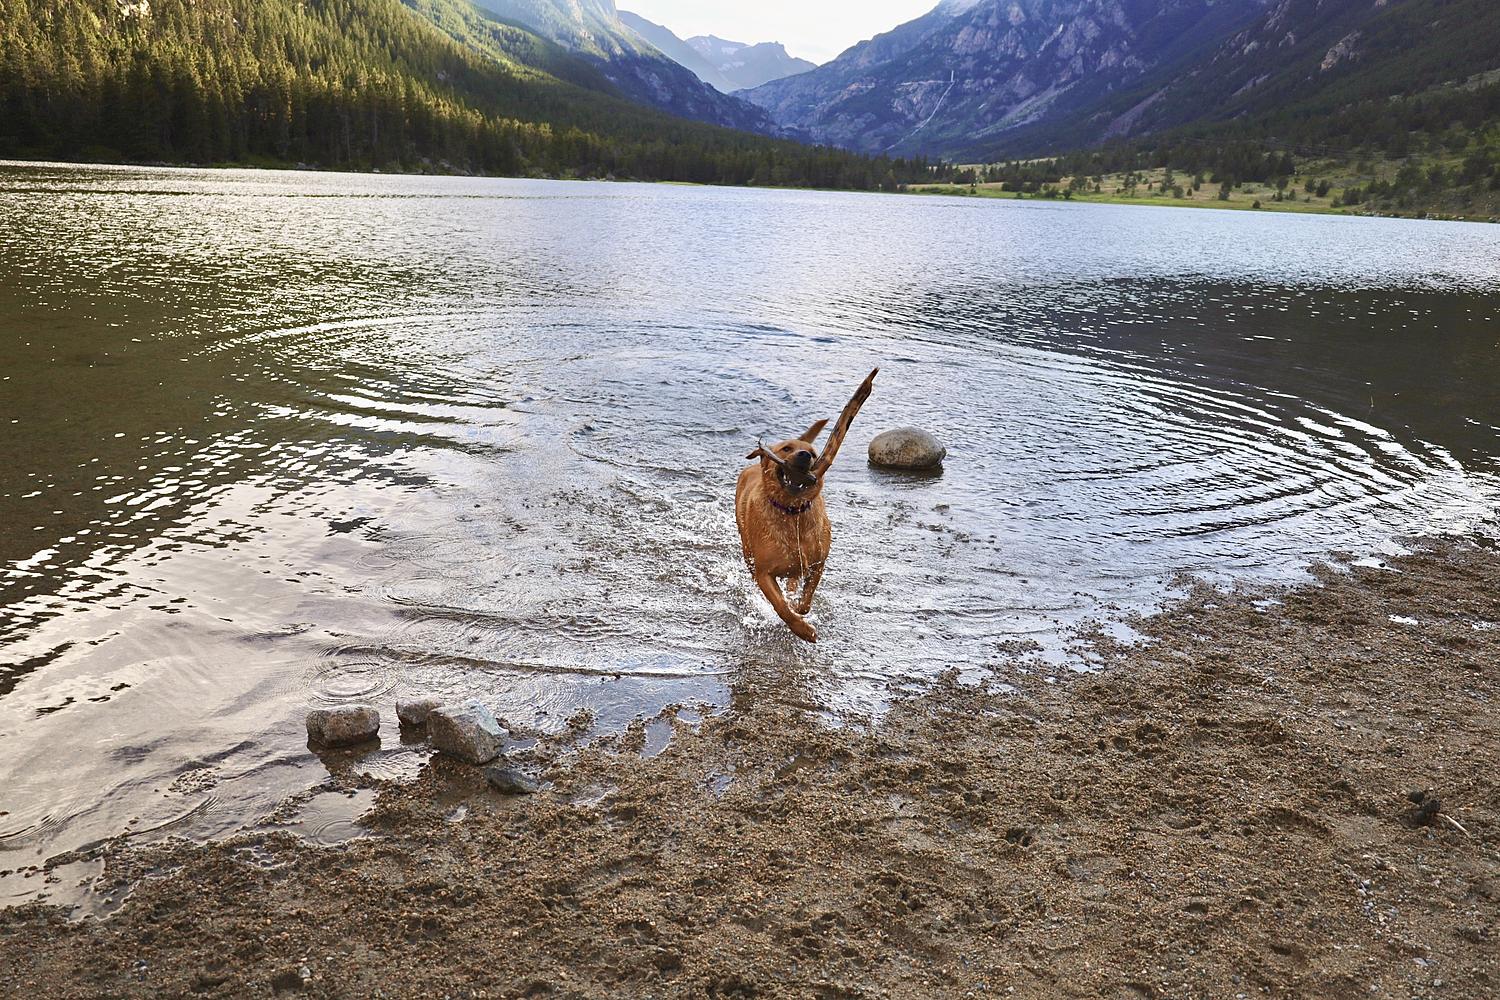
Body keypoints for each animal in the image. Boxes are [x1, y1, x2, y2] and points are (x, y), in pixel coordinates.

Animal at [735, 368, 878, 642]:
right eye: (786, 448)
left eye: (812, 452)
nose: (804, 456)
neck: (792, 513)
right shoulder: (763, 573)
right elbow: (780, 606)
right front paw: (802, 630)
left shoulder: (817, 563)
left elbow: (806, 598)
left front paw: (800, 609)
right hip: (747, 552)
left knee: (794, 582)